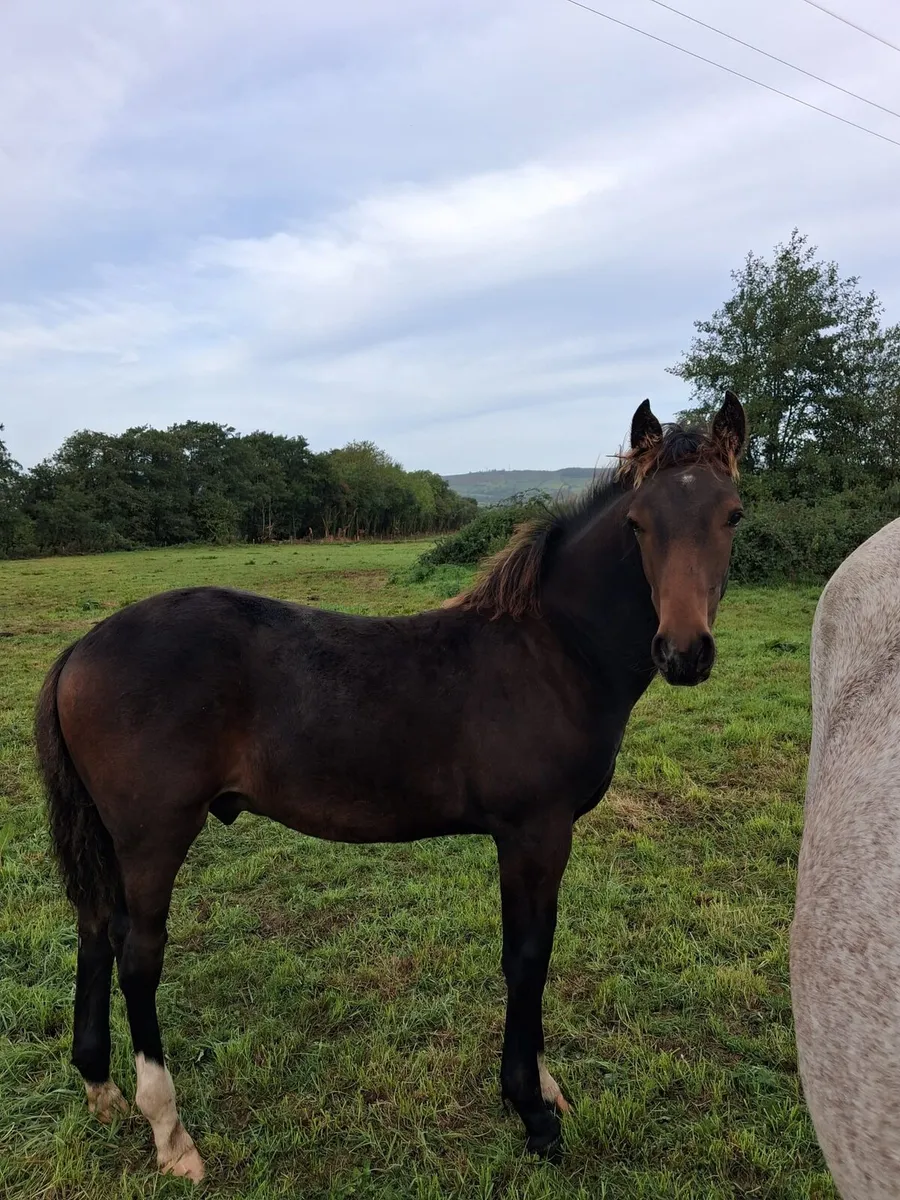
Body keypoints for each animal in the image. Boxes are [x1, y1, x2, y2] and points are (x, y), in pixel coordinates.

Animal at [35, 392, 746, 1183]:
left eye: (733, 514)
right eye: (638, 523)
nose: (683, 652)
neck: (553, 652)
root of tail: (81, 648)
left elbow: (531, 954)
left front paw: (543, 1087)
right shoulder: (534, 831)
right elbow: (527, 956)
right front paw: (532, 1111)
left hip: (110, 836)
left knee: (94, 928)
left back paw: (100, 1089)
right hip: (153, 834)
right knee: (138, 954)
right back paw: (169, 1131)